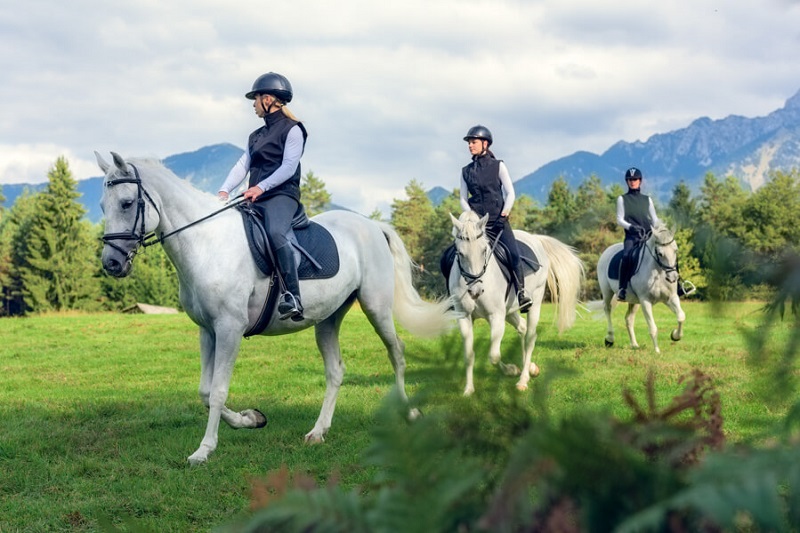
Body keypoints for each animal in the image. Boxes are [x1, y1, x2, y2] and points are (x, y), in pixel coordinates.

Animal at [97, 152, 454, 464]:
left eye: (127, 203)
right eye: (102, 205)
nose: (111, 263)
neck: (207, 243)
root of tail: (370, 225)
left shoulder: (229, 328)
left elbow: (218, 391)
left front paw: (204, 450)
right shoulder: (208, 331)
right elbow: (205, 391)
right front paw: (251, 419)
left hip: (376, 307)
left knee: (397, 353)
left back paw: (410, 412)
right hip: (328, 318)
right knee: (336, 370)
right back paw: (318, 431)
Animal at [450, 210, 580, 392]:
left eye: (484, 250)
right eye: (460, 253)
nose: (476, 292)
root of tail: (534, 238)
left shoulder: (496, 316)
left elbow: (494, 356)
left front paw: (511, 370)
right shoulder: (464, 317)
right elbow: (469, 355)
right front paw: (468, 390)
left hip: (534, 302)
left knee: (530, 336)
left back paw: (523, 379)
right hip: (509, 310)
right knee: (522, 327)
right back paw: (530, 367)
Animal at [596, 221, 684, 354]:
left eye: (676, 250)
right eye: (660, 253)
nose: (673, 277)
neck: (658, 272)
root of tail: (607, 250)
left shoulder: (671, 298)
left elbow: (681, 317)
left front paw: (675, 335)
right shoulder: (645, 301)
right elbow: (653, 328)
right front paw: (657, 351)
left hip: (634, 301)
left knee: (629, 319)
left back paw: (634, 344)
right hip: (607, 292)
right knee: (608, 309)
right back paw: (610, 339)